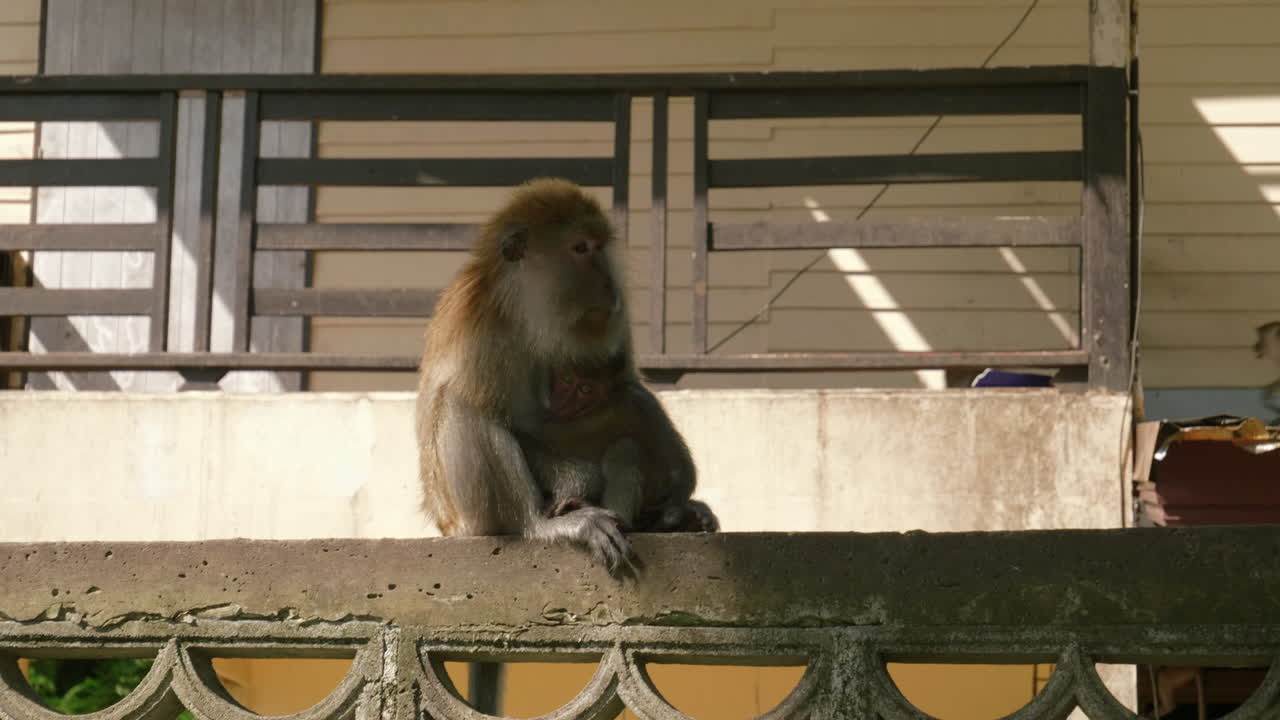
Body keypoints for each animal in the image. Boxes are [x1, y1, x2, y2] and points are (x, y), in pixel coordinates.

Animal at [417, 178, 715, 577]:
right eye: (581, 248)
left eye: (600, 247)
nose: (609, 283)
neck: (528, 311)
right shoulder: (482, 338)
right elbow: (520, 425)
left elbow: (628, 389)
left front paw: (682, 501)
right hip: (469, 518)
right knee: (460, 405)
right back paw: (539, 525)